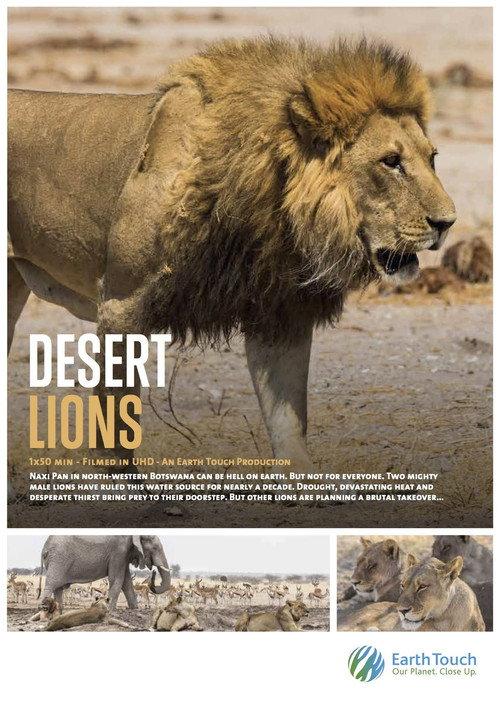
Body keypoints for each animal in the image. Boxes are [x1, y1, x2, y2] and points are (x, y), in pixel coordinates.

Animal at [8, 38, 456, 475]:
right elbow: (115, 425)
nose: (448, 222)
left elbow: (288, 425)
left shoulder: (279, 313)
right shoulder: (122, 304)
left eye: (432, 158)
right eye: (391, 162)